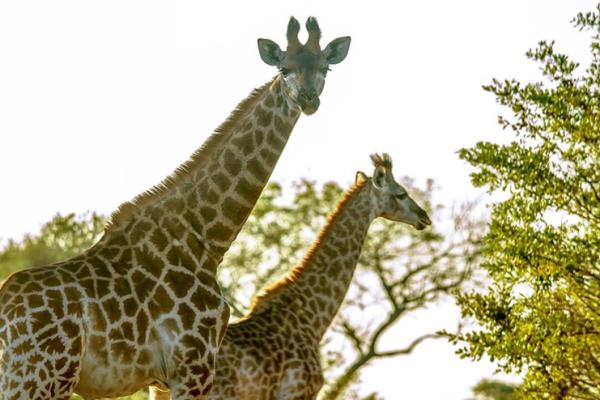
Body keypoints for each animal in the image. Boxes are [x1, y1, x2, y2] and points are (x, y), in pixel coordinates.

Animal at [0, 16, 352, 400]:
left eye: (325, 67)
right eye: (284, 68)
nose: (308, 99)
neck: (206, 236)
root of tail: (6, 314)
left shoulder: (169, 377)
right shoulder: (193, 365)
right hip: (44, 375)